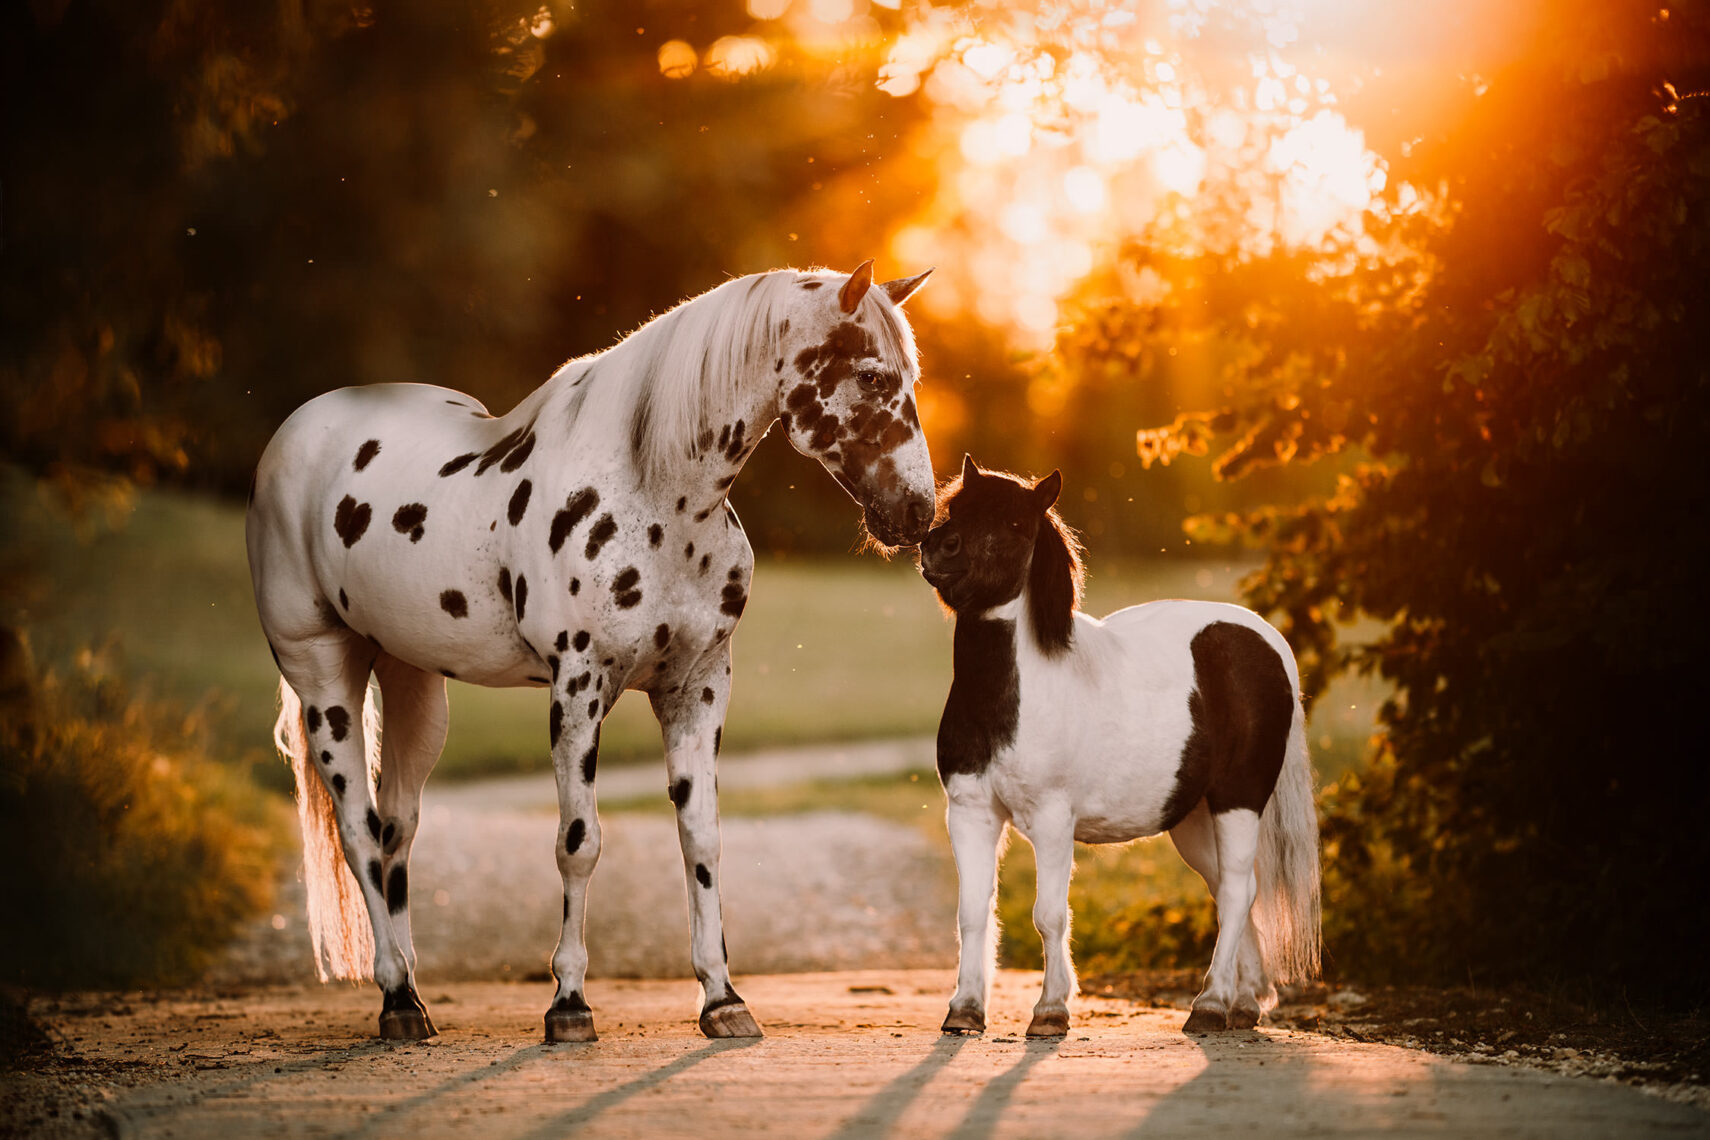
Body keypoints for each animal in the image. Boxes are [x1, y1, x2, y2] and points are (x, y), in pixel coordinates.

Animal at [246, 261, 936, 1044]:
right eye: (873, 377)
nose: (918, 513)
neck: (656, 496)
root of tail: (297, 433)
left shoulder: (698, 688)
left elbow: (701, 838)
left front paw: (723, 999)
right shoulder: (577, 687)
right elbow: (579, 843)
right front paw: (569, 1005)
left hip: (413, 685)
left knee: (398, 830)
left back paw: (413, 997)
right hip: (323, 680)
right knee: (359, 832)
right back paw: (395, 997)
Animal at [916, 456, 1320, 1037]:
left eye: (1015, 523)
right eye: (956, 507)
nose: (938, 548)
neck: (1020, 691)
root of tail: (1266, 638)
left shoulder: (1052, 821)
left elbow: (1049, 915)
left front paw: (1051, 1010)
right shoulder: (970, 814)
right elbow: (972, 912)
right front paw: (966, 1010)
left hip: (1237, 802)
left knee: (1237, 891)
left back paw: (1210, 1005)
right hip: (1194, 821)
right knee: (1232, 891)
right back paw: (1242, 1003)